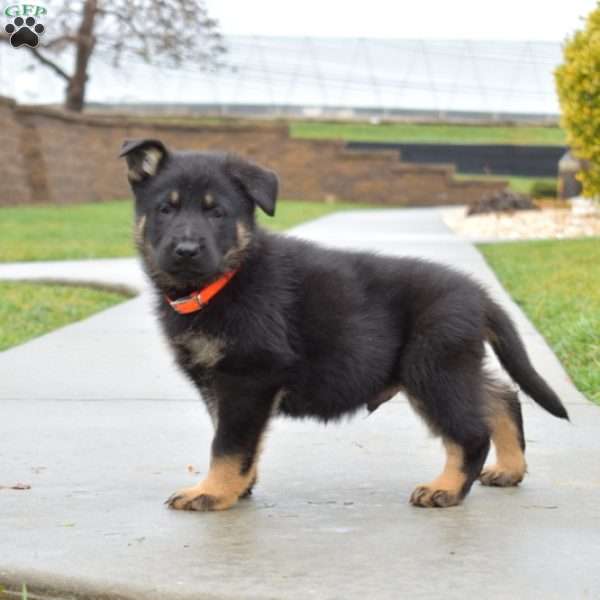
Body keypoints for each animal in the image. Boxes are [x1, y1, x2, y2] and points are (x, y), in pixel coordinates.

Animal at [118, 139, 568, 510]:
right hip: (452, 365)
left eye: (216, 213)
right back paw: (509, 468)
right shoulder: (220, 382)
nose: (185, 250)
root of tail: (478, 294)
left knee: (471, 431)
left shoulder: (249, 377)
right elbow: (236, 439)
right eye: (165, 209)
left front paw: (212, 492)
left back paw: (446, 488)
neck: (224, 280)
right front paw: (238, 486)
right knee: (501, 395)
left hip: (433, 368)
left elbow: (228, 444)